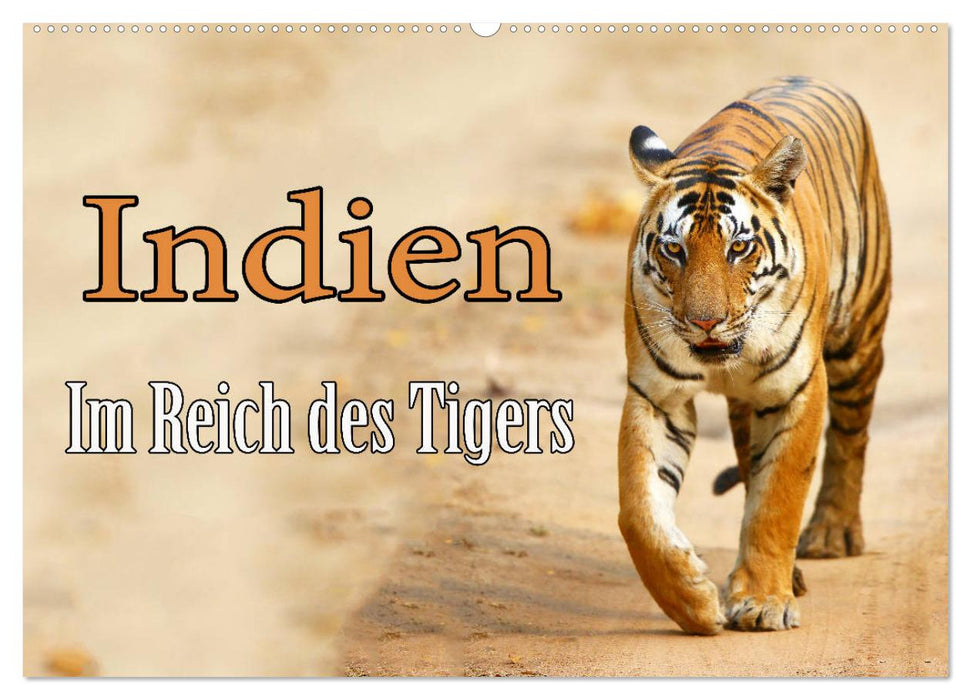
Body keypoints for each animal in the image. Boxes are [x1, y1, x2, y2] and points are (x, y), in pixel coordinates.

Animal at [618, 76, 891, 634]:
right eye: (673, 249)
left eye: (739, 248)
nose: (704, 321)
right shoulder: (656, 395)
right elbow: (638, 510)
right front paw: (693, 602)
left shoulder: (797, 390)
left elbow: (778, 499)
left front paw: (764, 602)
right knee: (748, 465)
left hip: (858, 338)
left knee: (851, 436)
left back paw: (831, 533)